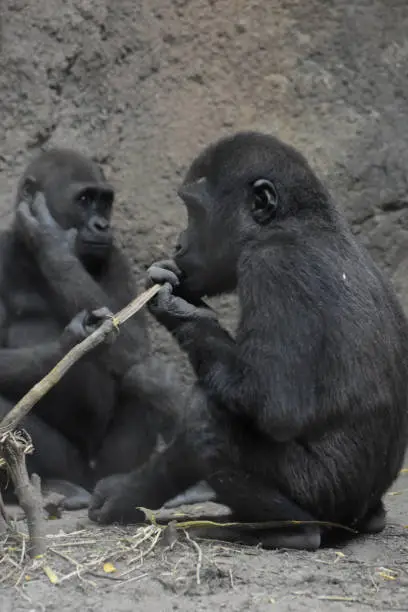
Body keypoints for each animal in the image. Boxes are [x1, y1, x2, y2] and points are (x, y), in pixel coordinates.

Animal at [86, 130, 408, 548]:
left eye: (195, 212)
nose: (178, 244)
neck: (294, 222)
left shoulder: (272, 267)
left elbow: (272, 401)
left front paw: (181, 310)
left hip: (326, 498)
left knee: (207, 422)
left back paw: (291, 531)